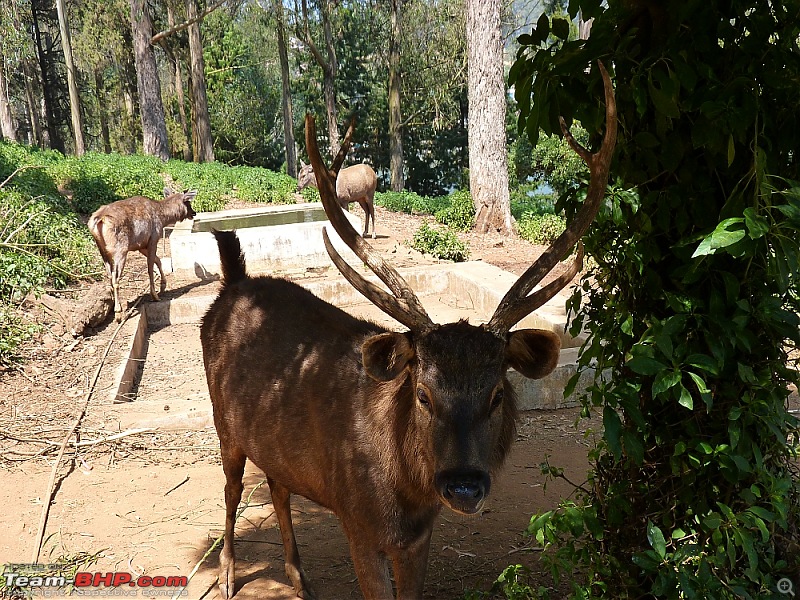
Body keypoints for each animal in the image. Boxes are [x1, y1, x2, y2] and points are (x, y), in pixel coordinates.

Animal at [88, 189, 196, 322]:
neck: (163, 218)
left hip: (102, 251)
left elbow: (158, 260)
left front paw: (163, 285)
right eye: (188, 202)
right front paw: (155, 295)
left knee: (109, 275)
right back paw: (118, 313)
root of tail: (98, 219)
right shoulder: (153, 237)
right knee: (115, 277)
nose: (194, 212)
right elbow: (150, 267)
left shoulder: (140, 245)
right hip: (120, 248)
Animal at [202, 63, 620, 596]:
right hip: (223, 424)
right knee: (232, 491)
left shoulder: (419, 538)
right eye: (422, 393)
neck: (403, 493)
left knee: (277, 486)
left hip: (271, 445)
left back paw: (298, 575)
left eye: (497, 394)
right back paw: (228, 574)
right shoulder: (357, 524)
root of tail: (230, 284)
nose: (463, 484)